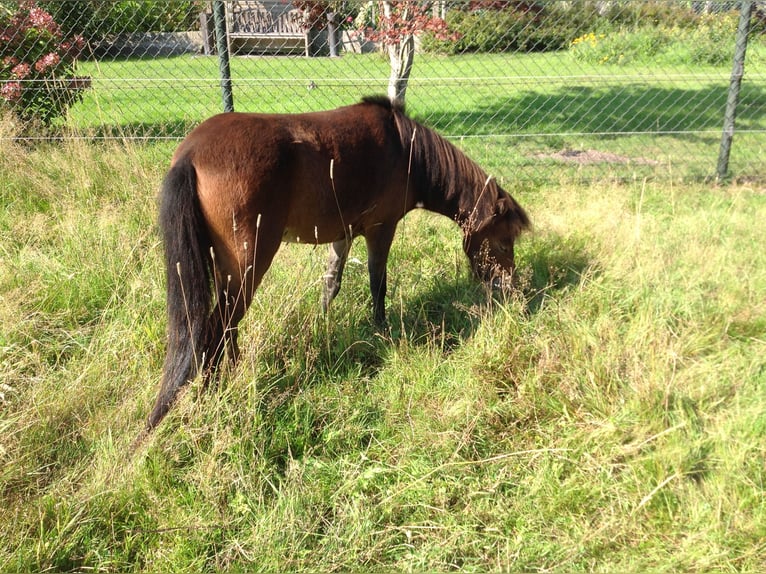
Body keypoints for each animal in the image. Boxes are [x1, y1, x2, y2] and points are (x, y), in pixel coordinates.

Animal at [146, 95, 530, 430]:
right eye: (504, 241)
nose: (510, 291)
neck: (406, 150)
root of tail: (191, 154)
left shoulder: (344, 233)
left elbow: (332, 283)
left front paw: (323, 323)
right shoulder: (381, 228)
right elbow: (378, 282)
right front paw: (382, 332)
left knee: (225, 325)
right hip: (248, 265)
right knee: (218, 326)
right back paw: (215, 391)